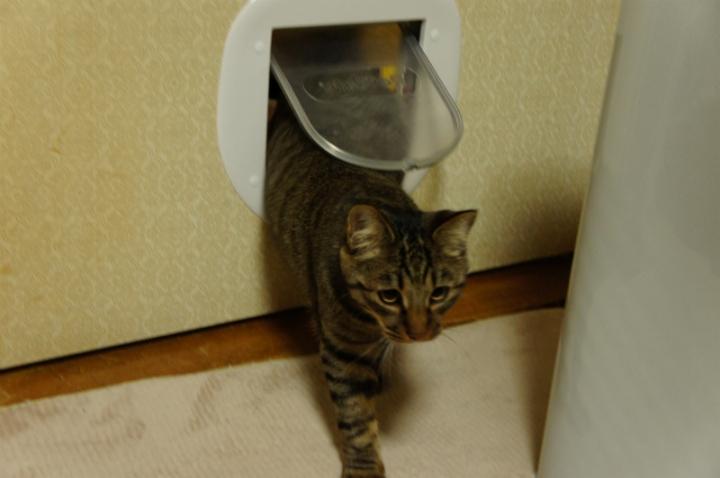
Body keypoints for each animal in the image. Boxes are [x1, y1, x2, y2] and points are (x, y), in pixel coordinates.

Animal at [264, 98, 476, 478]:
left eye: (439, 293)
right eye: (389, 296)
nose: (419, 333)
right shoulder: (342, 352)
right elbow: (356, 417)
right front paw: (363, 466)